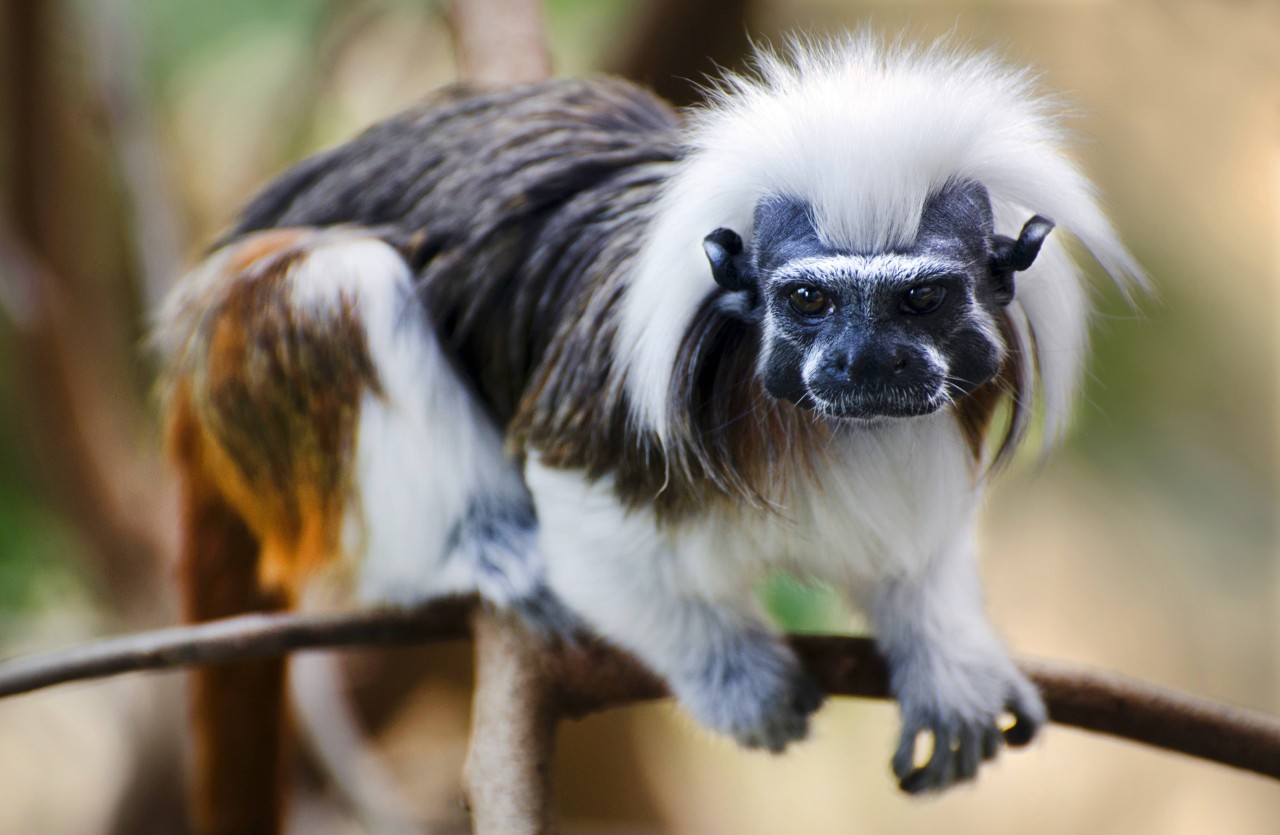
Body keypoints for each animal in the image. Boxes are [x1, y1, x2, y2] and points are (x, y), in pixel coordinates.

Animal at [152, 34, 1141, 835]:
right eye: (808, 300)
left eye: (923, 299)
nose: (866, 362)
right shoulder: (611, 406)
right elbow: (586, 524)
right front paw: (731, 672)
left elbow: (915, 548)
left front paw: (946, 659)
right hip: (241, 361)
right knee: (339, 288)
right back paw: (482, 545)